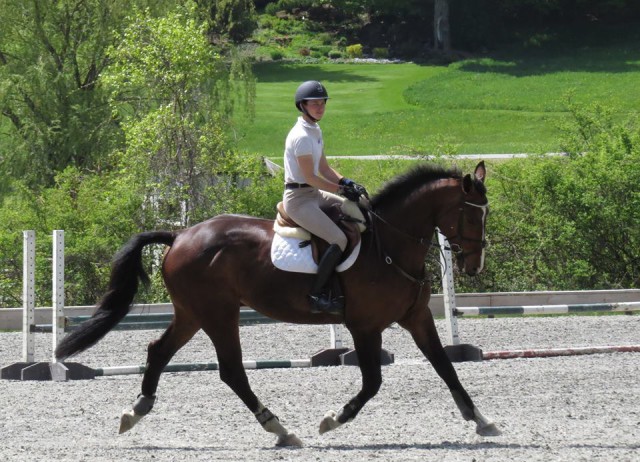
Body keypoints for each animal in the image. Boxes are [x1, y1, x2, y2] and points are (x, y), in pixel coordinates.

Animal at [53, 161, 500, 446]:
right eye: (469, 214)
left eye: (485, 213)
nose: (474, 265)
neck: (390, 246)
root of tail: (180, 235)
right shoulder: (364, 326)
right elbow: (372, 382)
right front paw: (332, 421)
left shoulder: (417, 316)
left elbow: (446, 367)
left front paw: (482, 421)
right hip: (218, 313)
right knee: (232, 371)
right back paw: (279, 428)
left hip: (193, 313)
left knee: (159, 351)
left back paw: (137, 410)